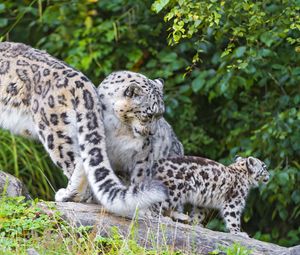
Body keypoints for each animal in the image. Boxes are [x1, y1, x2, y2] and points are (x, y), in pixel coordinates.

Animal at [0, 41, 169, 217]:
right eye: (149, 115)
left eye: (158, 115)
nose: (152, 133)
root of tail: (84, 84)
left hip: (54, 131)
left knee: (76, 161)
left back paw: (67, 195)